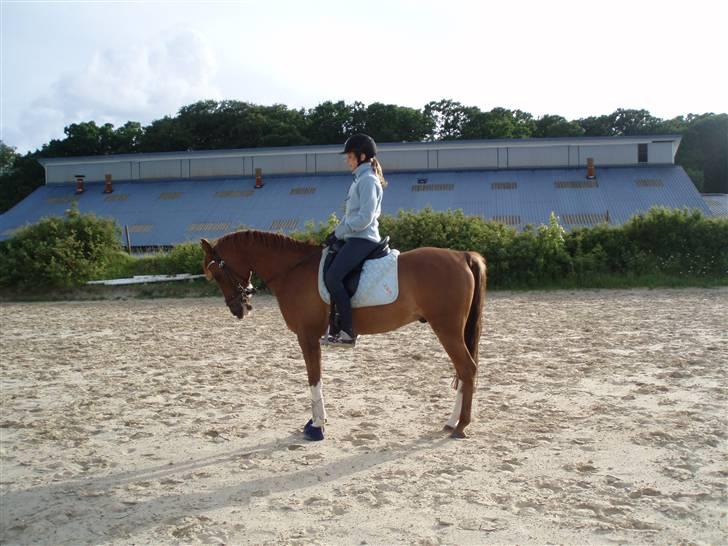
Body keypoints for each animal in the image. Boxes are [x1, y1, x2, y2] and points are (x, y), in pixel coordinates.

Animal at [199, 230, 486, 438]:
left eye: (216, 273)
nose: (238, 309)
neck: (292, 270)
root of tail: (462, 256)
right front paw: (317, 421)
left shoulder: (307, 337)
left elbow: (313, 378)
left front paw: (317, 427)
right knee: (463, 372)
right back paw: (452, 422)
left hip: (447, 329)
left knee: (467, 369)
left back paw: (461, 426)